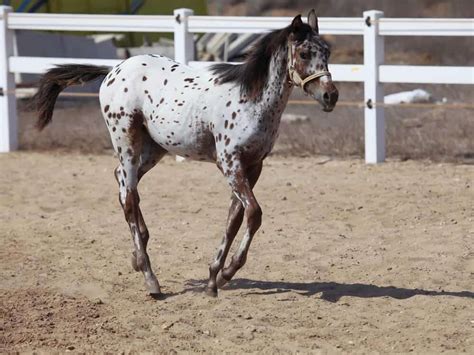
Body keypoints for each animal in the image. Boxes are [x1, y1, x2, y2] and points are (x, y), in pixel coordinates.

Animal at [34, 9, 336, 298]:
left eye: (327, 52)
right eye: (305, 53)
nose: (331, 96)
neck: (251, 100)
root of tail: (114, 69)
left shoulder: (253, 165)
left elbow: (234, 218)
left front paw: (214, 278)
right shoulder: (230, 163)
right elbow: (254, 214)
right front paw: (227, 272)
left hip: (153, 149)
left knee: (123, 182)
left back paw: (138, 252)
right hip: (125, 140)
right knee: (128, 196)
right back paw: (150, 277)